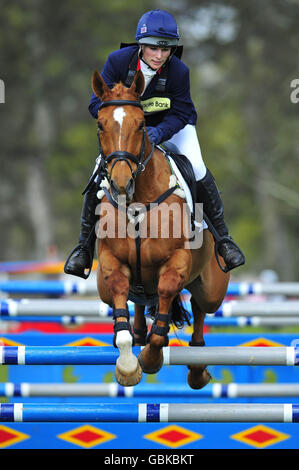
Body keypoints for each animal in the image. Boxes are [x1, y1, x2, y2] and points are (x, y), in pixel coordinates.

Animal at [93, 69, 230, 386]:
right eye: (101, 125)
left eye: (142, 124)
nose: (121, 183)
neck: (137, 202)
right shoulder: (111, 262)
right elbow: (121, 302)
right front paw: (128, 367)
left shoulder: (176, 261)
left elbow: (166, 295)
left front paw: (151, 359)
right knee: (139, 301)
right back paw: (140, 333)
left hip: (212, 289)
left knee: (200, 309)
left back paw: (197, 370)